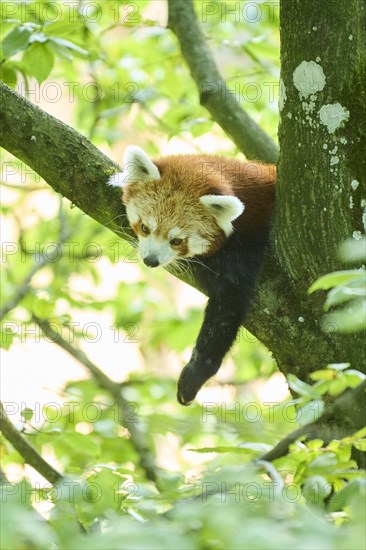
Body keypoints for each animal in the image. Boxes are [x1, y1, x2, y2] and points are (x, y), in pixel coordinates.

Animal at [107, 147, 276, 406]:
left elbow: (226, 308)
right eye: (145, 228)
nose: (151, 260)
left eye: (177, 241)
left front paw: (193, 377)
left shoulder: (248, 244)